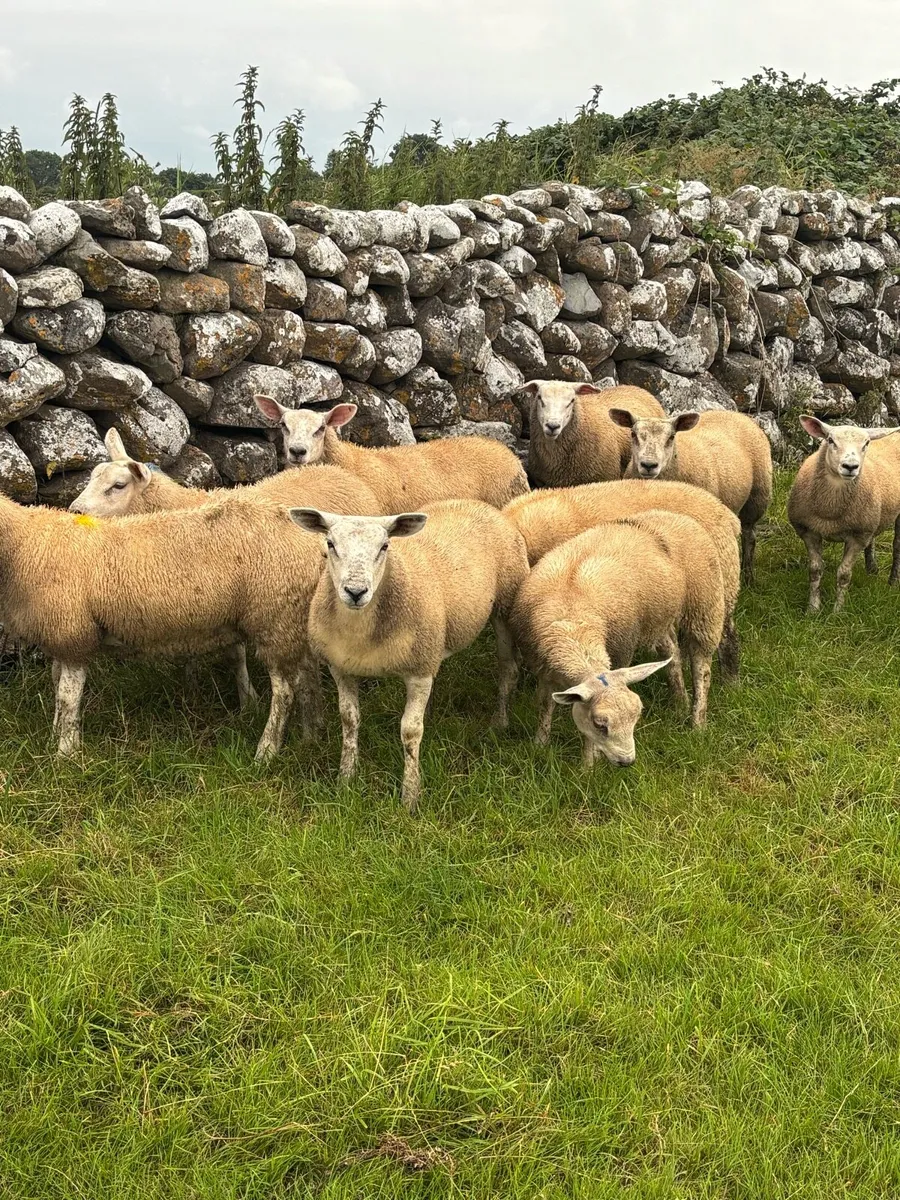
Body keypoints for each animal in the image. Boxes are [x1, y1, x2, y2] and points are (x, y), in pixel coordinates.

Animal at [0, 491, 330, 760]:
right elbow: (58, 689)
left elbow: (68, 698)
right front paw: (56, 738)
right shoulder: (60, 637)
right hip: (292, 620)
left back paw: (267, 751)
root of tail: (317, 545)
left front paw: (65, 753)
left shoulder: (73, 635)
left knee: (285, 692)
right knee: (308, 679)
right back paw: (310, 735)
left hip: (274, 619)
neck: (22, 547)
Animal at [290, 499, 529, 812]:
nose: (355, 591)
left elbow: (410, 732)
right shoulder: (341, 668)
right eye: (330, 544)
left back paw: (499, 722)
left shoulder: (419, 672)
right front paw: (346, 779)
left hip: (505, 603)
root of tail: (478, 504)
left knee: (508, 670)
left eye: (384, 547)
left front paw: (410, 797)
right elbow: (349, 720)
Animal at [510, 508, 726, 767]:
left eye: (637, 716)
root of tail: (677, 516)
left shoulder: (620, 652)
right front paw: (540, 744)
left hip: (705, 606)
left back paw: (697, 722)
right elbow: (545, 704)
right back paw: (680, 703)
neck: (572, 620)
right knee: (672, 652)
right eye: (600, 724)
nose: (627, 762)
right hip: (659, 616)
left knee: (702, 669)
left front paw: (589, 763)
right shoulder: (544, 668)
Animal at [609, 407, 773, 583]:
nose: (649, 465)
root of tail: (735, 413)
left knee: (749, 536)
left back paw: (748, 575)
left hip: (756, 498)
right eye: (633, 434)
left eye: (671, 437)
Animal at [787, 415, 900, 612]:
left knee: (897, 547)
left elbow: (844, 574)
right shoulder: (809, 531)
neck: (830, 512)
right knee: (873, 540)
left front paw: (837, 611)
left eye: (866, 443)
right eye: (830, 440)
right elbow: (815, 570)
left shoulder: (857, 537)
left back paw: (893, 582)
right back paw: (872, 569)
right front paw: (813, 609)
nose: (850, 466)